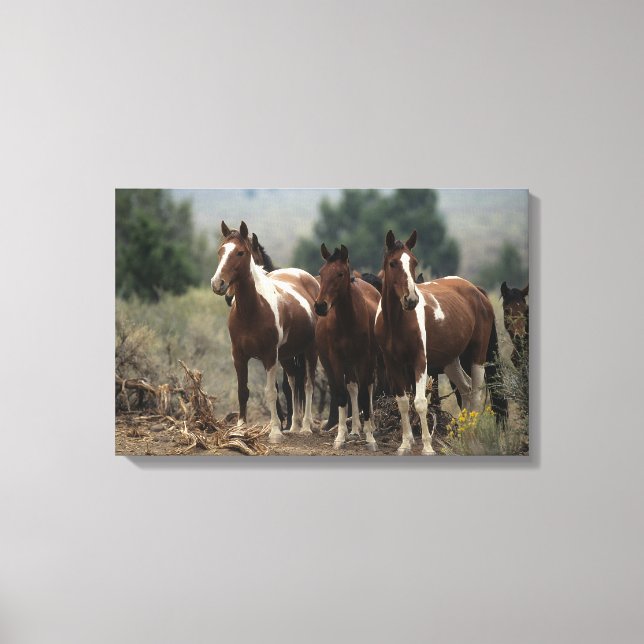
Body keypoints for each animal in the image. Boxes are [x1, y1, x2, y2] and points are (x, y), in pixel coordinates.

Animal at [211, 221, 319, 443]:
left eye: (240, 252)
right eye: (220, 251)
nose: (218, 284)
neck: (252, 310)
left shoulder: (269, 356)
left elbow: (271, 392)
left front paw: (275, 432)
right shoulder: (239, 356)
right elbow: (243, 391)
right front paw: (240, 429)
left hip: (310, 350)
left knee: (308, 384)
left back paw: (305, 426)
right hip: (287, 355)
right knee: (293, 383)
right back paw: (294, 426)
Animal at [314, 244, 381, 450]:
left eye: (340, 274)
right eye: (321, 272)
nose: (320, 306)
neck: (347, 321)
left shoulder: (364, 358)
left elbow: (365, 396)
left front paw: (370, 439)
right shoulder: (335, 359)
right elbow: (342, 394)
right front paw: (340, 437)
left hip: (369, 360)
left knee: (368, 387)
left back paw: (370, 426)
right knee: (352, 387)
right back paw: (354, 430)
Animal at [375, 230, 501, 455]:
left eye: (414, 262)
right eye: (393, 263)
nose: (411, 300)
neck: (396, 323)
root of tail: (476, 291)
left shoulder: (419, 361)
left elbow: (420, 402)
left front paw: (427, 447)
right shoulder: (392, 363)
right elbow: (403, 402)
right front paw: (405, 444)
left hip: (477, 355)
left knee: (476, 393)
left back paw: (474, 441)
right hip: (451, 360)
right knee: (465, 389)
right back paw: (466, 438)